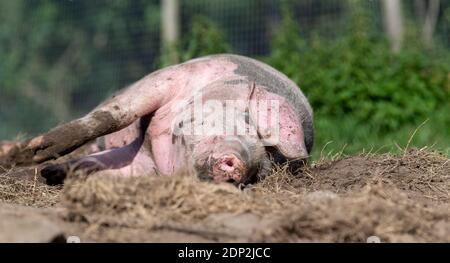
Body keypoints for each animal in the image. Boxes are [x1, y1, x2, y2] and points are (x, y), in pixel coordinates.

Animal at [3, 54, 312, 186]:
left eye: (262, 170)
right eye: (247, 124)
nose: (238, 166)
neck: (155, 140)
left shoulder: (143, 161)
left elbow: (103, 165)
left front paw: (52, 173)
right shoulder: (170, 78)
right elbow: (115, 117)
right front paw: (41, 154)